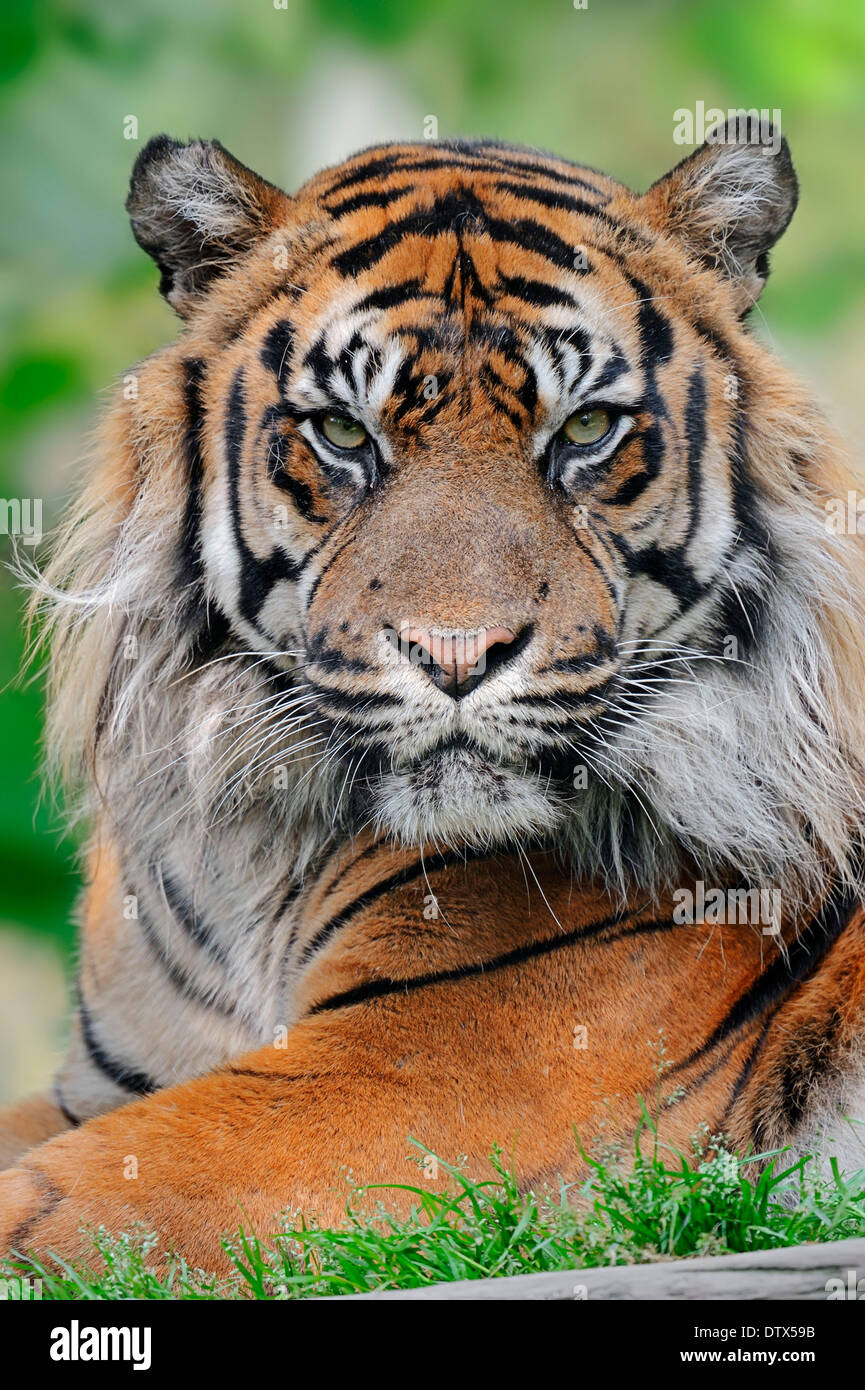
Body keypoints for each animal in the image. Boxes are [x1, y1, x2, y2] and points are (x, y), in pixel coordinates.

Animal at [1, 119, 865, 1273]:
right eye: (341, 433)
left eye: (585, 430)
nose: (457, 653)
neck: (249, 843)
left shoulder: (401, 1071)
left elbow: (39, 1201)